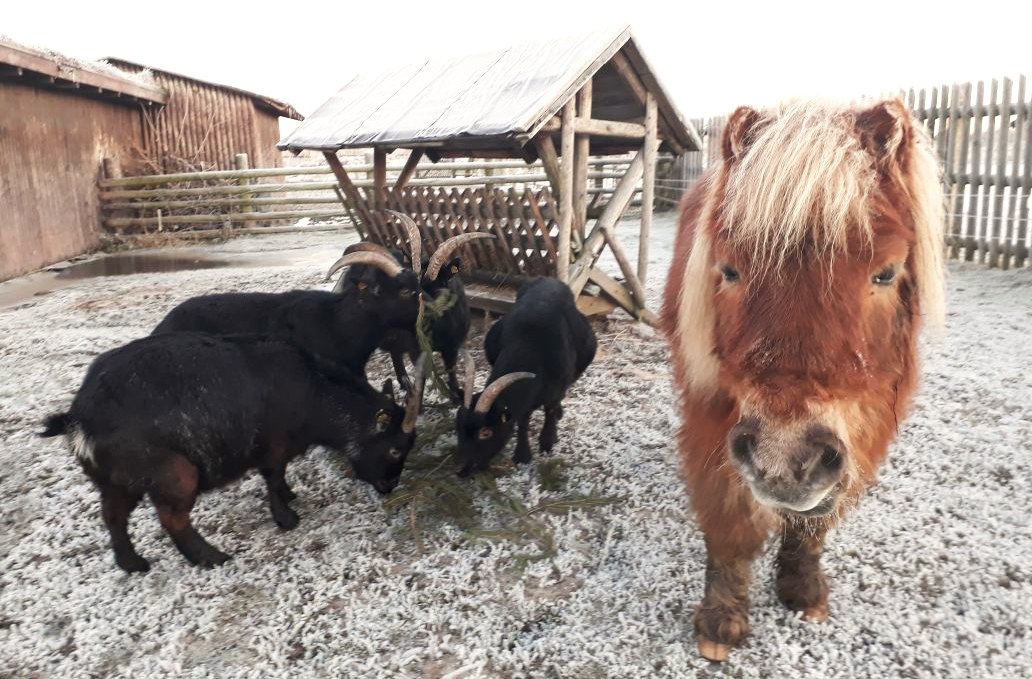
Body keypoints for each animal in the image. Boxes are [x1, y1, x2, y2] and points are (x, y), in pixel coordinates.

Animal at [37, 332, 423, 569]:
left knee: (113, 516)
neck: (314, 390)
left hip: (118, 480)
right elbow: (273, 475)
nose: (390, 486)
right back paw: (211, 557)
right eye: (394, 450)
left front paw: (291, 497)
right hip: (174, 473)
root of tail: (81, 416)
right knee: (172, 519)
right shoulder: (274, 444)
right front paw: (286, 518)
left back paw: (133, 564)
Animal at [454, 278, 598, 472]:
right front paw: (522, 455)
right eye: (458, 428)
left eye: (485, 433)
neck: (529, 343)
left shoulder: (558, 385)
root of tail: (550, 280)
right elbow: (523, 419)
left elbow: (550, 409)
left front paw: (547, 442)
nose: (460, 468)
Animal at [660, 98, 945, 660]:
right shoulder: (712, 420)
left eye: (886, 272)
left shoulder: (864, 432)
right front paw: (721, 620)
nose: (783, 459)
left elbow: (815, 522)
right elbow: (727, 519)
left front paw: (802, 587)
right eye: (729, 270)